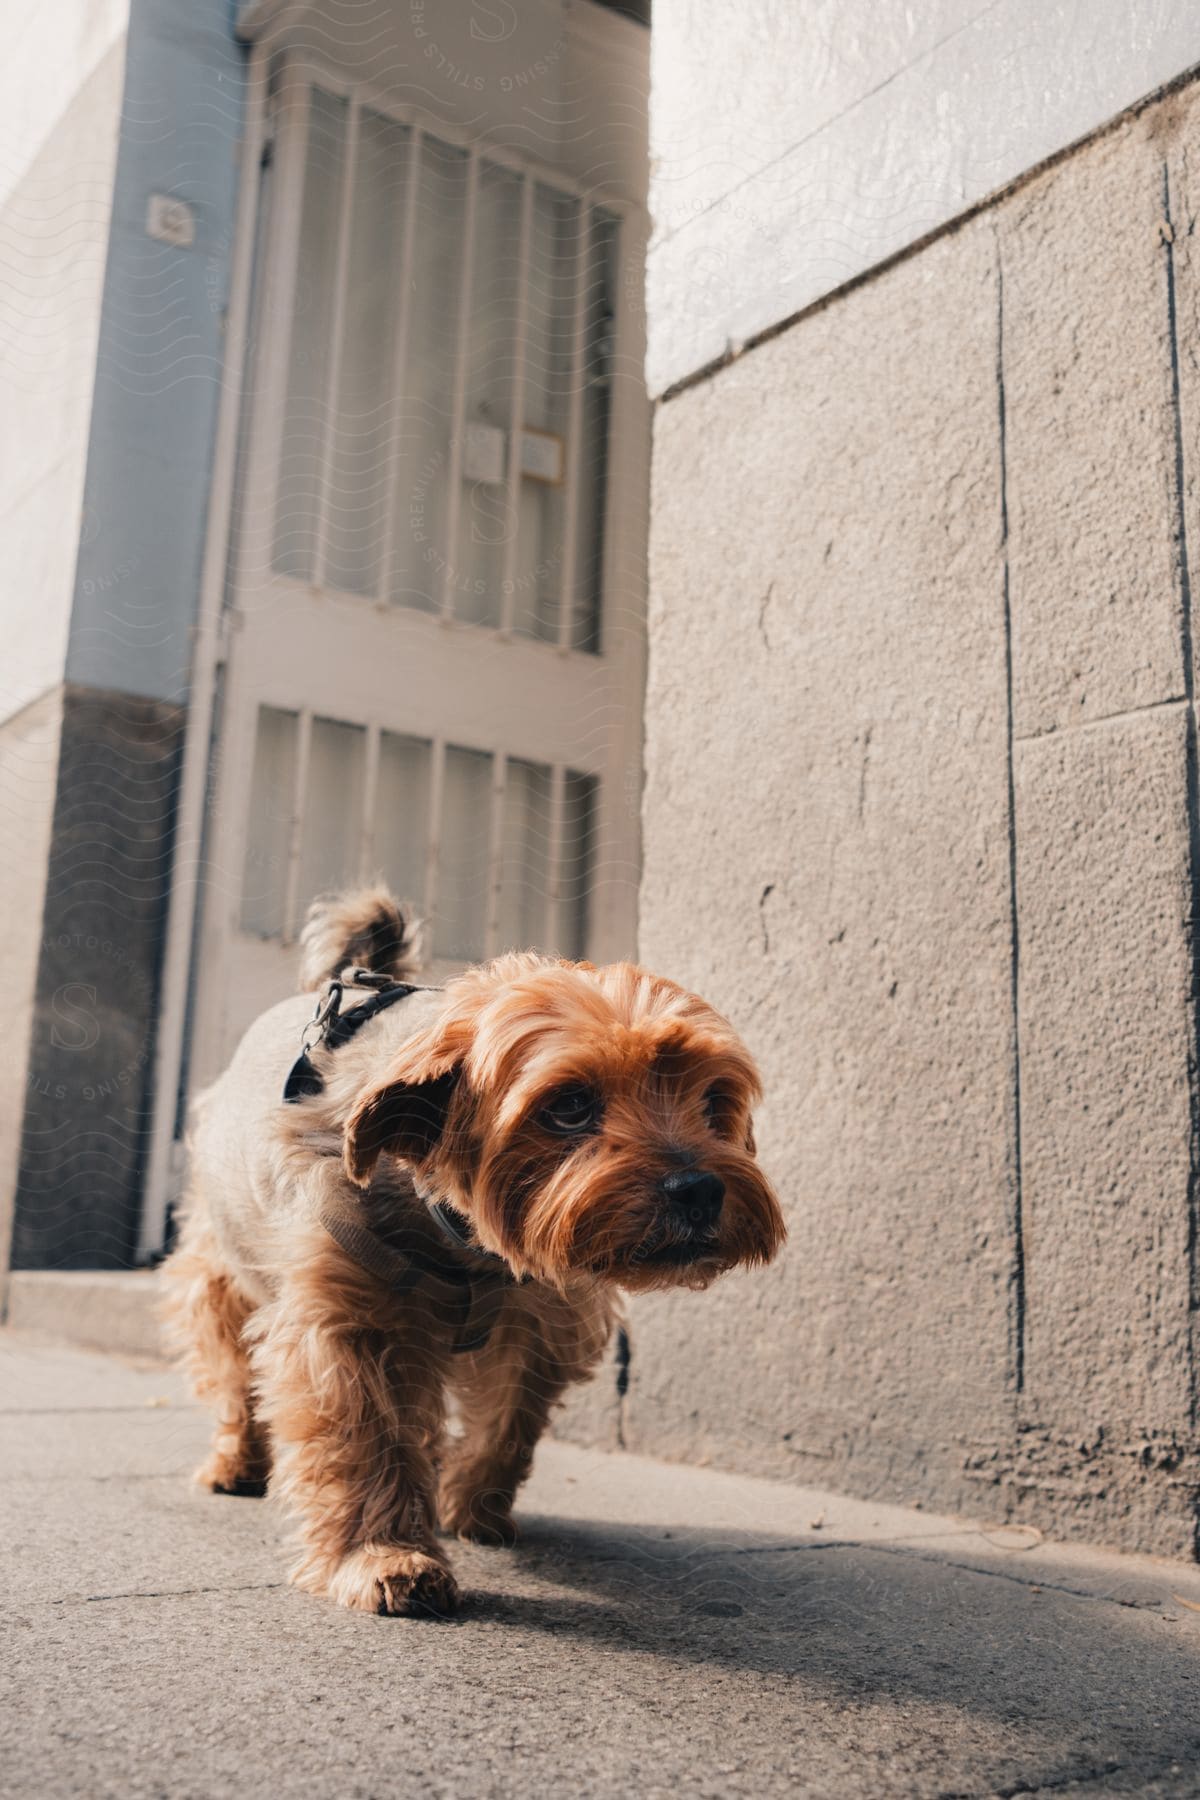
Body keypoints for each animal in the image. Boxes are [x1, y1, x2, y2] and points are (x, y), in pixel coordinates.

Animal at [164, 885, 788, 1620]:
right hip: (220, 1262)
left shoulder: (545, 1317)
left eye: (714, 1098)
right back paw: (234, 1461)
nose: (698, 1188)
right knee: (230, 1362)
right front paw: (382, 1556)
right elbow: (365, 1436)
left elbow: (508, 1420)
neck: (470, 1248)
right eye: (569, 1106)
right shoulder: (346, 1323)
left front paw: (472, 1508)